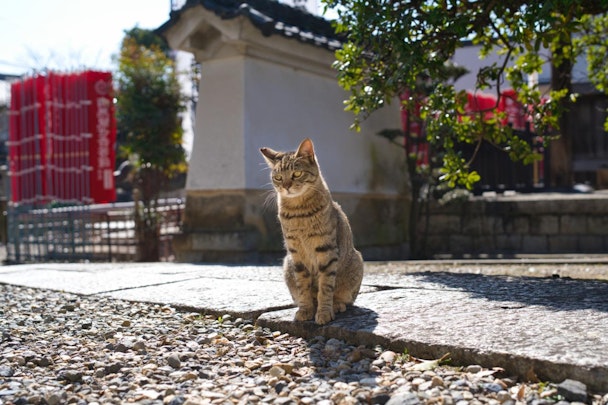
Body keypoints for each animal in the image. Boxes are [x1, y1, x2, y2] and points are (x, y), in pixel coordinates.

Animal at [260, 137, 364, 324]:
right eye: (278, 177)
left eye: (297, 174)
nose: (286, 186)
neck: (298, 212)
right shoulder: (295, 253)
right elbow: (303, 287)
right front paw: (306, 310)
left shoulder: (326, 250)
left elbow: (325, 286)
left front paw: (323, 312)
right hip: (287, 264)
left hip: (356, 262)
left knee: (345, 299)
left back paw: (336, 305)